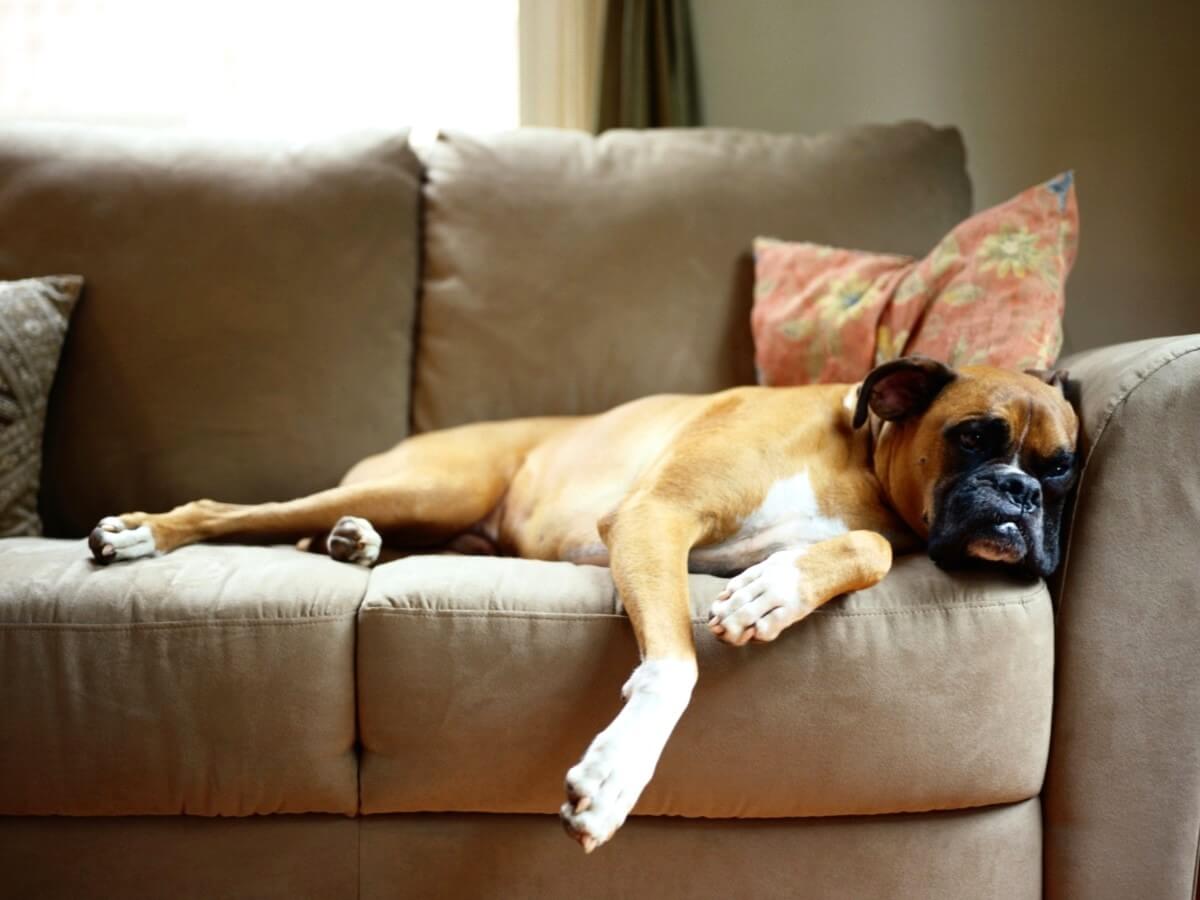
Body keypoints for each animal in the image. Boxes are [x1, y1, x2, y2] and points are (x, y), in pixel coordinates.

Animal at [87, 357, 1080, 854]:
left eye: (1063, 468)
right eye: (973, 438)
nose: (1021, 497)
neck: (859, 460)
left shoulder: (846, 531)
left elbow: (865, 549)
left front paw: (777, 587)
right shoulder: (653, 517)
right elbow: (674, 665)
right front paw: (612, 778)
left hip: (445, 518)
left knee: (335, 532)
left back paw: (353, 543)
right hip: (434, 486)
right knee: (235, 514)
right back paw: (140, 535)